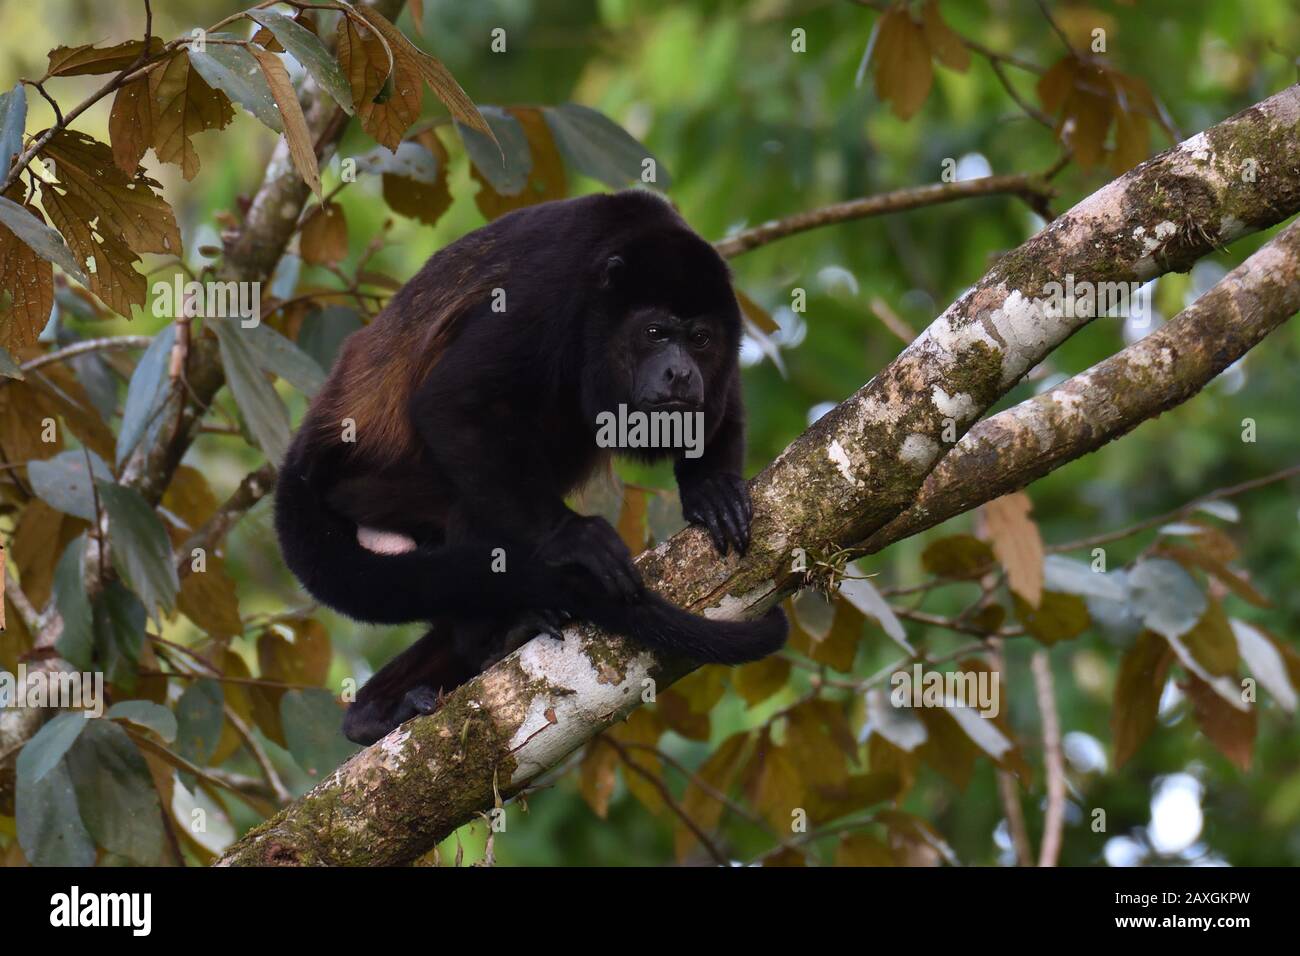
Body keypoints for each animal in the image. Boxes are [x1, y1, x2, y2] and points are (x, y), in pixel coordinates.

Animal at [274, 187, 785, 743]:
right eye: (655, 332)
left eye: (700, 339)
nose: (680, 373)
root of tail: (303, 453)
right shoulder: (546, 293)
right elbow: (451, 402)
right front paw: (574, 537)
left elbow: (724, 407)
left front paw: (711, 488)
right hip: (368, 488)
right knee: (467, 510)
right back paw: (488, 641)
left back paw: (375, 712)